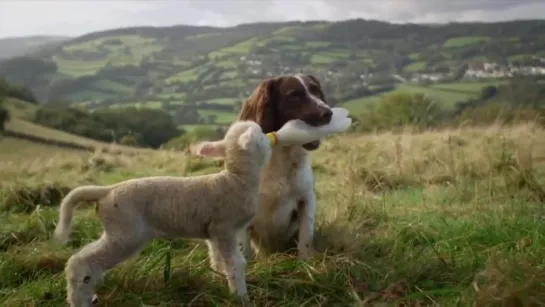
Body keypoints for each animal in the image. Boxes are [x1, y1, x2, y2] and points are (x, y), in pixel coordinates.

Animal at [53, 120, 270, 307]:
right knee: (80, 261)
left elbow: (218, 261)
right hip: (125, 231)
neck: (236, 180)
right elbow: (235, 264)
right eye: (260, 134)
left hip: (117, 230)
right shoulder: (225, 228)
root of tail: (107, 190)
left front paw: (219, 283)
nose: (269, 139)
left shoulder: (214, 232)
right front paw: (241, 297)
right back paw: (79, 301)